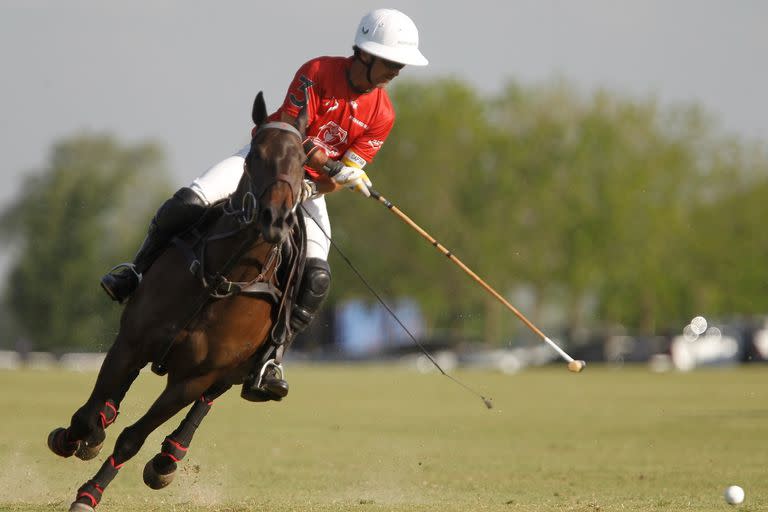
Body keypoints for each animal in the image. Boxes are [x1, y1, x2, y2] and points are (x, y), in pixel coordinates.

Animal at [45, 92, 306, 512]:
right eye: (254, 155)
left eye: (302, 160)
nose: (276, 218)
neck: (219, 277)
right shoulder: (131, 342)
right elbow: (88, 416)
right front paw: (76, 439)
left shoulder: (192, 378)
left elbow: (133, 438)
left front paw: (89, 494)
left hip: (237, 370)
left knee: (208, 400)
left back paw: (167, 460)